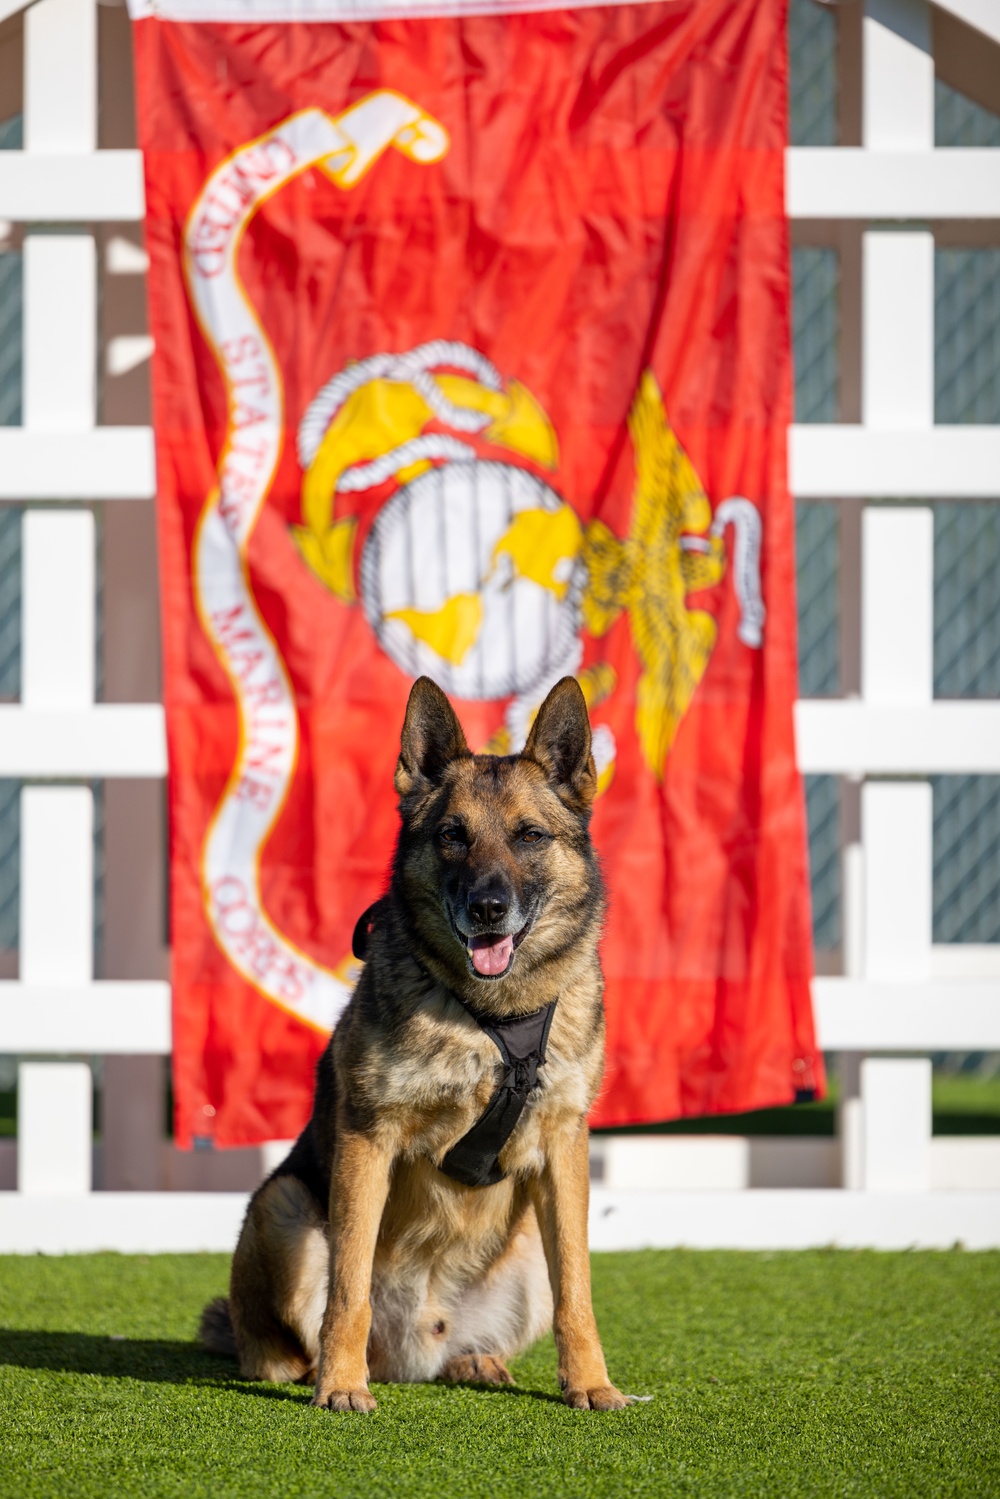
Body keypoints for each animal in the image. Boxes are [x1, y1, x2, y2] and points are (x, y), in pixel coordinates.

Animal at [199, 674, 629, 1409]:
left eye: (530, 836)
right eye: (454, 835)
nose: (487, 909)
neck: (488, 1016)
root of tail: (411, 1351)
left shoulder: (563, 1148)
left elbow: (579, 1289)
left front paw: (591, 1385)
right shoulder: (368, 1137)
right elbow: (347, 1290)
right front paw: (342, 1387)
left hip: (525, 1253)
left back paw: (473, 1361)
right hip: (283, 1208)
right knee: (301, 1342)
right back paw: (333, 1373)